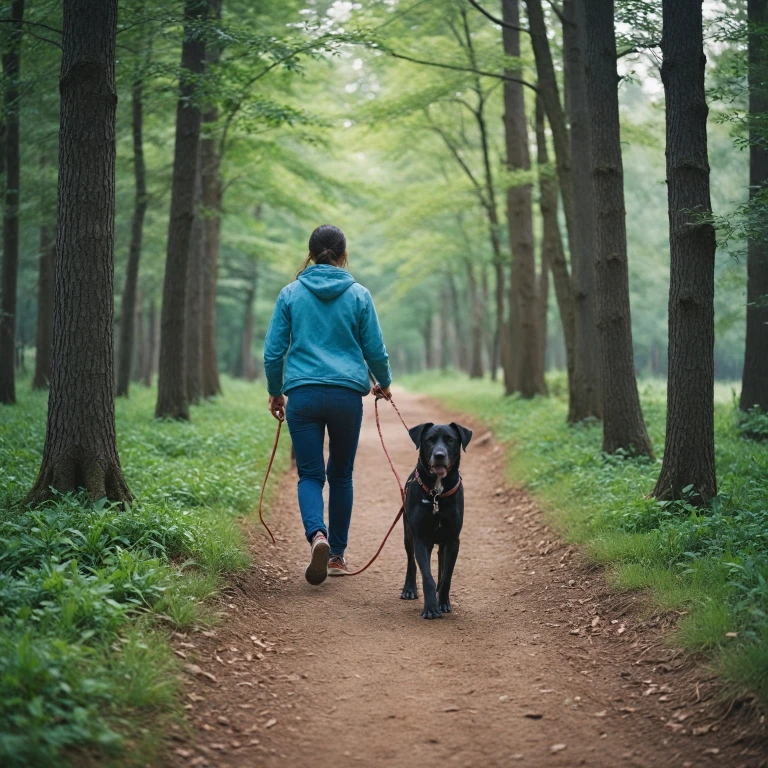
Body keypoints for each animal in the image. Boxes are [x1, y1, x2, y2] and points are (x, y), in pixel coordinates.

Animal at [402, 420, 474, 616]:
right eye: (429, 440)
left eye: (450, 439)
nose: (439, 455)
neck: (437, 494)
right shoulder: (420, 539)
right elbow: (427, 576)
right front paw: (430, 608)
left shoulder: (453, 540)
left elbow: (446, 576)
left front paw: (442, 602)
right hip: (408, 534)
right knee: (411, 562)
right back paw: (409, 589)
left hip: (442, 542)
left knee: (441, 564)